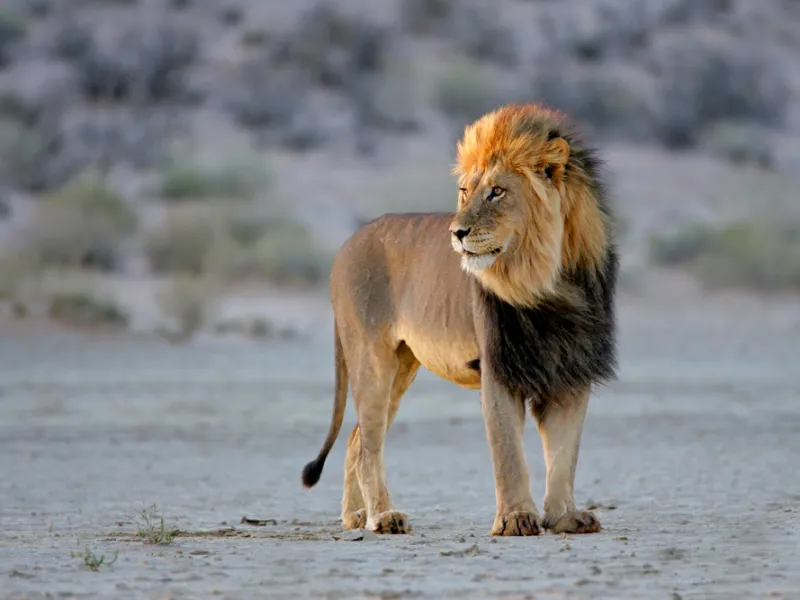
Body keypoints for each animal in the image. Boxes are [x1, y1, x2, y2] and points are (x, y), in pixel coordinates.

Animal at [301, 103, 619, 536]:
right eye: (465, 191)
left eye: (497, 191)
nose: (457, 232)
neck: (549, 282)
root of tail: (348, 243)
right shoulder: (498, 367)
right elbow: (508, 452)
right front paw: (516, 519)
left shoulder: (571, 370)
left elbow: (564, 454)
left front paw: (565, 516)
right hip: (372, 358)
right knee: (368, 444)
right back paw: (383, 517)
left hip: (402, 365)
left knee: (356, 438)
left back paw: (355, 517)